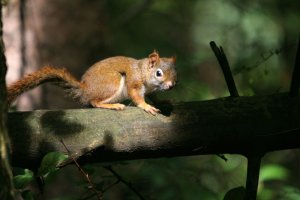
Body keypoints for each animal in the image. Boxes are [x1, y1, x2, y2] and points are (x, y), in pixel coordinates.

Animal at [7, 50, 177, 115]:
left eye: (176, 74)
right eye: (158, 73)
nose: (170, 86)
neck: (143, 71)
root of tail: (85, 89)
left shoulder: (150, 90)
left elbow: (153, 97)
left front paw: (163, 101)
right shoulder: (134, 81)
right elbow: (136, 95)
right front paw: (146, 106)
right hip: (112, 82)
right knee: (94, 102)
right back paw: (112, 105)